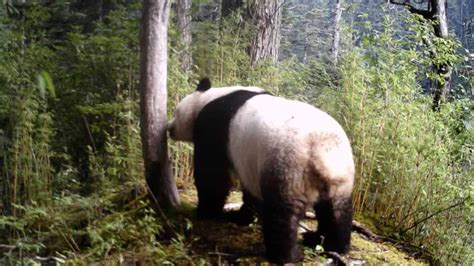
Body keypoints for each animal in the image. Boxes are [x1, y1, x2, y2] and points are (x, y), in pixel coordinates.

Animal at [168, 78, 354, 262]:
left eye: (176, 112)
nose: (169, 128)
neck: (208, 98)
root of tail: (322, 153)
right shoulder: (250, 162)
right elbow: (250, 190)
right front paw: (244, 217)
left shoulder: (216, 128)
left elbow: (212, 175)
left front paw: (206, 212)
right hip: (341, 178)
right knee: (335, 211)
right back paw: (328, 244)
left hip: (288, 166)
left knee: (283, 213)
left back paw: (286, 255)